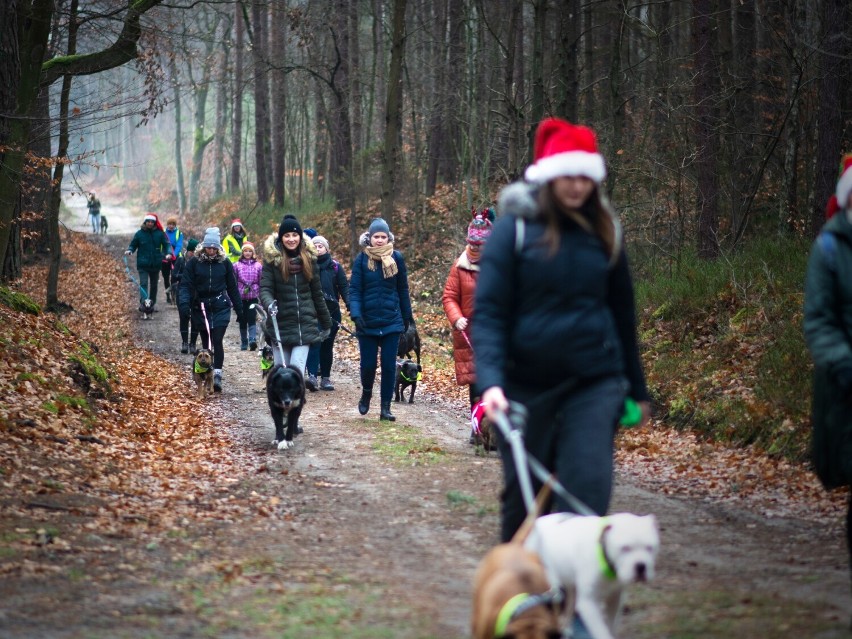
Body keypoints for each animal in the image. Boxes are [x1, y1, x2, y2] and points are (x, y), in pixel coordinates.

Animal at [524, 512, 660, 639]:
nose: (641, 566)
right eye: (625, 548)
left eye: (650, 547)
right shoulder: (589, 603)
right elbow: (601, 632)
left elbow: (611, 625)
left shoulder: (615, 597)